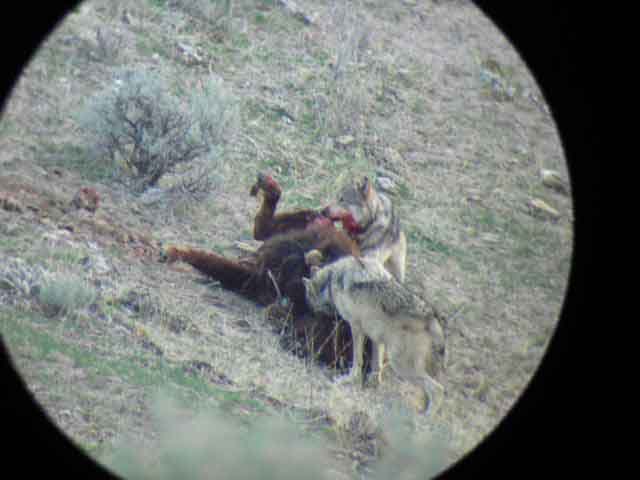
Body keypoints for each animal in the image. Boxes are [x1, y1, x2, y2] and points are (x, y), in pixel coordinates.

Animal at [303, 255, 446, 415]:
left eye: (308, 299)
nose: (310, 313)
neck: (332, 277)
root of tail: (431, 318)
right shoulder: (377, 337)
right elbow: (377, 364)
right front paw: (373, 384)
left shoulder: (356, 326)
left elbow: (357, 360)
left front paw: (348, 380)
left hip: (401, 366)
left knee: (438, 390)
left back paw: (424, 417)